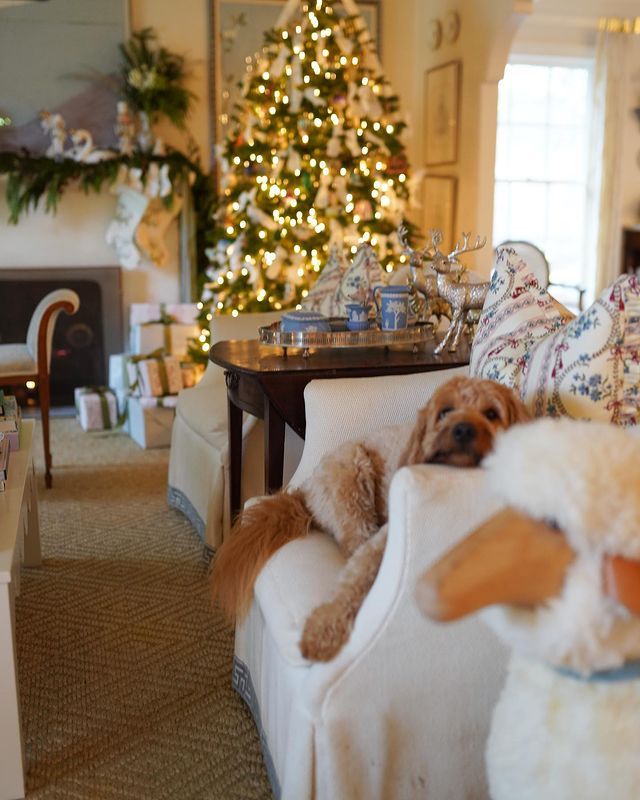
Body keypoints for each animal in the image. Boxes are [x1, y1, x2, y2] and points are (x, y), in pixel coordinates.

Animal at [211, 378, 528, 660]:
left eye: (491, 414)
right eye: (445, 411)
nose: (462, 429)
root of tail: (305, 488)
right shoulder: (379, 544)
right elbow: (351, 585)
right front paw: (323, 631)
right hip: (353, 470)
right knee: (352, 545)